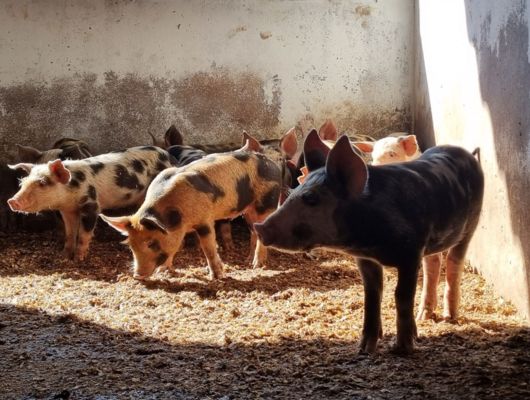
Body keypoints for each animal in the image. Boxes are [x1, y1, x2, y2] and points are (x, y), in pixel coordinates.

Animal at [7, 145, 173, 260]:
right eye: (23, 182)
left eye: (42, 183)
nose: (11, 201)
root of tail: (168, 156)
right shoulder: (67, 210)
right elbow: (69, 233)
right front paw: (64, 256)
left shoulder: (92, 205)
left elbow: (84, 234)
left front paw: (79, 258)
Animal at [255, 131, 482, 354]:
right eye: (291, 194)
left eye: (311, 198)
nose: (260, 227)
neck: (370, 239)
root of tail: (465, 152)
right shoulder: (366, 259)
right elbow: (372, 296)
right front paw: (364, 349)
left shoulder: (411, 253)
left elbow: (402, 295)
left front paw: (401, 349)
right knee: (433, 264)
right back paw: (423, 316)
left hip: (471, 224)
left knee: (454, 263)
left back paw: (449, 317)